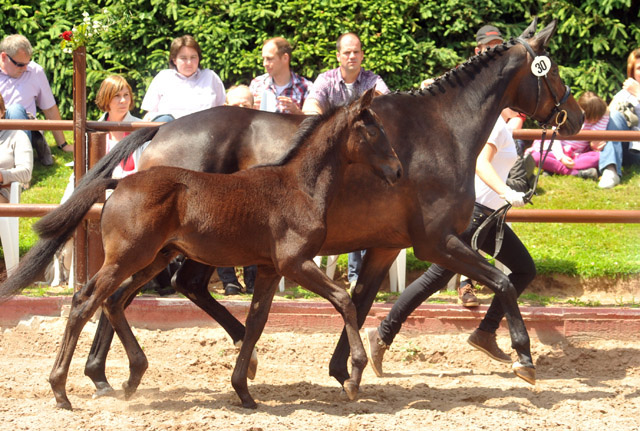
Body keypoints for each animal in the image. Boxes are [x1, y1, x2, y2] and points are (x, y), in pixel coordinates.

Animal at [33, 89, 400, 410]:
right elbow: (343, 300)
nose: (397, 170)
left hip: (153, 259)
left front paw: (244, 391)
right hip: (127, 257)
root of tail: (119, 183)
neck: (299, 187)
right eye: (373, 130)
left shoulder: (269, 268)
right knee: (84, 302)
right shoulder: (294, 262)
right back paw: (60, 390)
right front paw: (353, 376)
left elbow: (255, 323)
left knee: (113, 300)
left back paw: (131, 376)